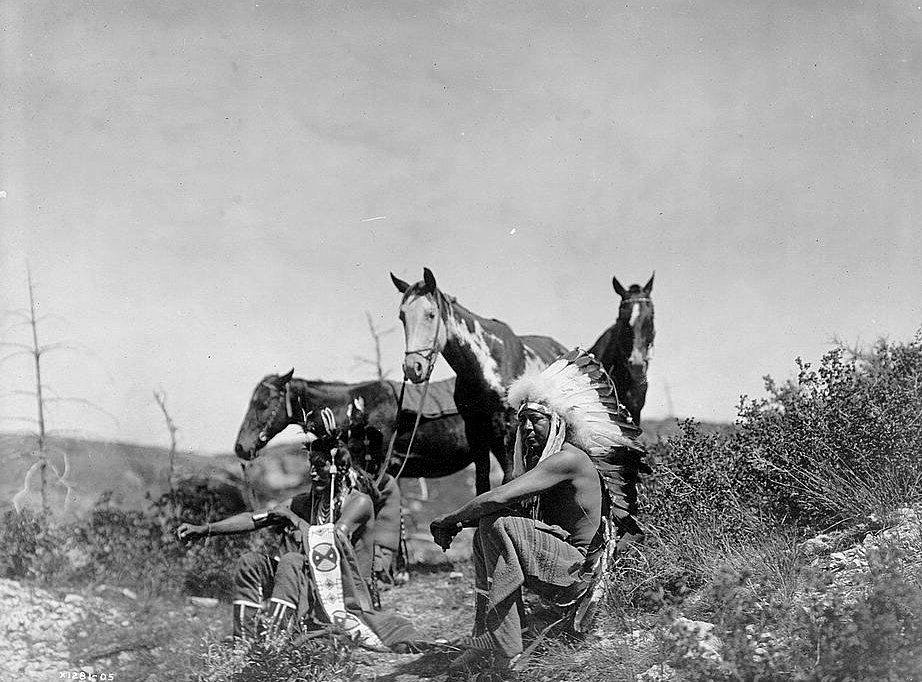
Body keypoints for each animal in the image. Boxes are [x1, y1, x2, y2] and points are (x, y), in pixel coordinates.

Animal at [390, 266, 564, 494]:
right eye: (402, 316)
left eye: (431, 314)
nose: (413, 367)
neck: (485, 368)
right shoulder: (474, 430)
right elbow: (482, 482)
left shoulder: (509, 428)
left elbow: (510, 478)